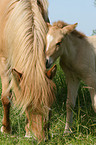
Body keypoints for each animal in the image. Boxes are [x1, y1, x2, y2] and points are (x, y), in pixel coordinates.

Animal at [0, 0, 56, 141]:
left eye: (50, 106)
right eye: (27, 107)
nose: (41, 139)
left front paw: (28, 132)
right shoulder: (4, 62)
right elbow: (6, 97)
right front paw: (6, 129)